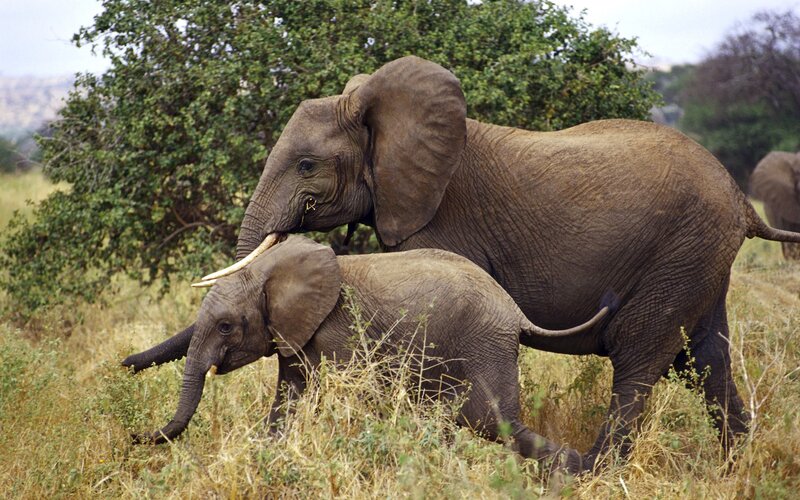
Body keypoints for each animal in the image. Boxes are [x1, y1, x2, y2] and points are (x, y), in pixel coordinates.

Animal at [131, 235, 611, 474]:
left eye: (226, 326)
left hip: (484, 346)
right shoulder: (297, 335)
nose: (136, 437)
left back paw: (576, 471)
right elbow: (288, 402)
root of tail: (514, 310)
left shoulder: (336, 332)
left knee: (493, 422)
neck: (271, 270)